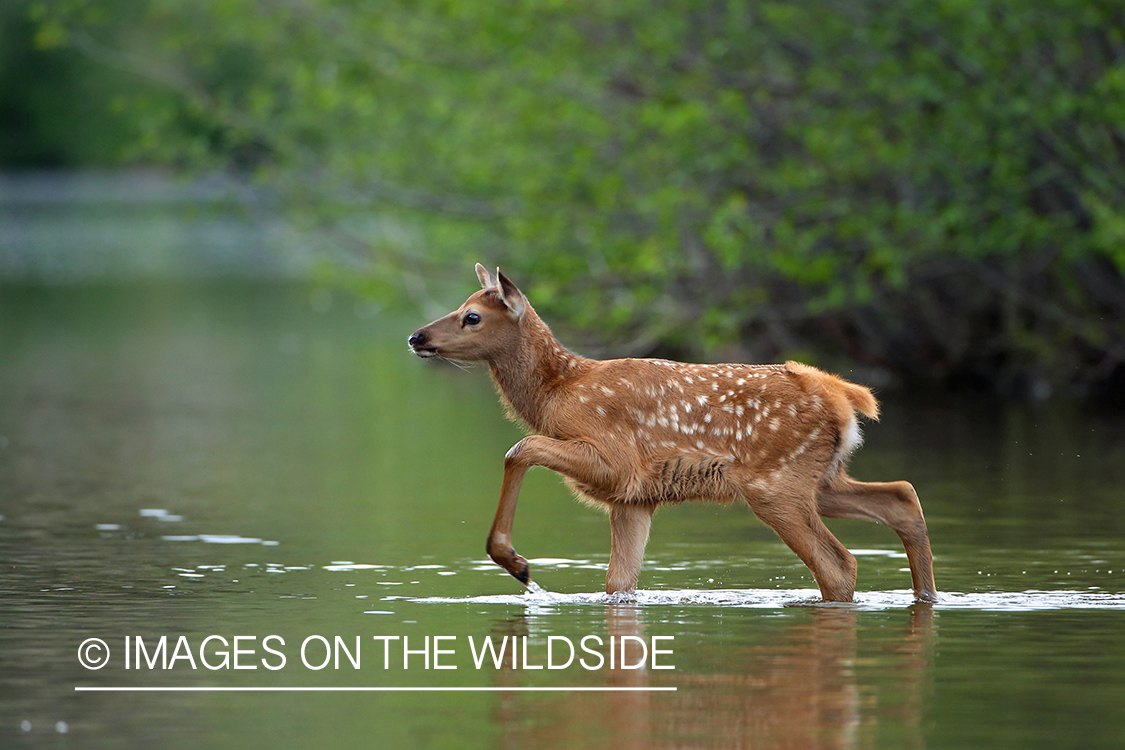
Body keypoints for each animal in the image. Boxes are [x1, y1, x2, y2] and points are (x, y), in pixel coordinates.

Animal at [409, 264, 936, 602]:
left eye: (472, 316)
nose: (417, 336)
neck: (559, 395)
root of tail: (841, 396)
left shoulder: (614, 459)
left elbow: (520, 447)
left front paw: (514, 562)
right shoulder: (632, 499)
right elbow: (618, 584)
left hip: (775, 484)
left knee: (838, 563)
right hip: (819, 480)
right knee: (902, 495)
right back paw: (927, 596)